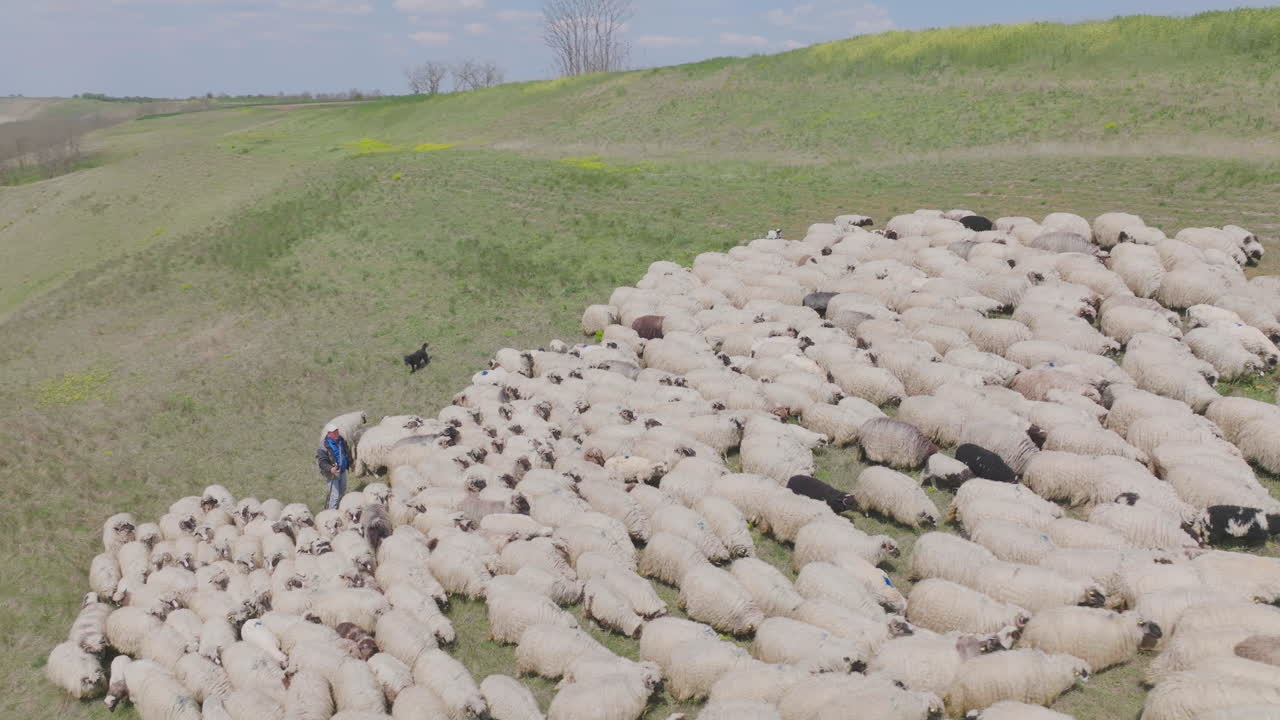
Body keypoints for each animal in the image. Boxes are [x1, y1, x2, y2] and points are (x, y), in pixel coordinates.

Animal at [944, 648, 1090, 717]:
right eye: (1083, 672)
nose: (1089, 680)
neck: (1056, 670)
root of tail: (957, 681)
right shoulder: (1036, 697)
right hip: (978, 700)